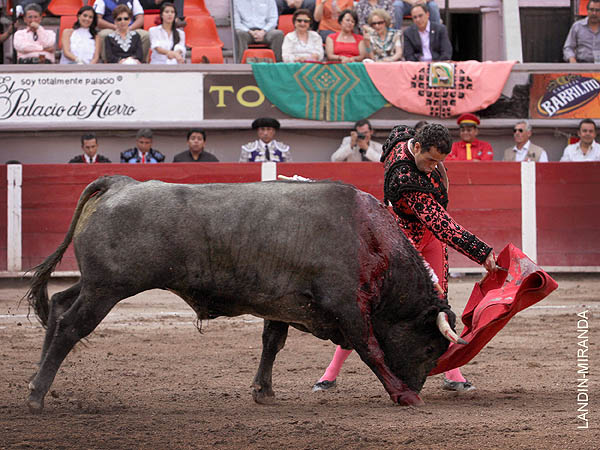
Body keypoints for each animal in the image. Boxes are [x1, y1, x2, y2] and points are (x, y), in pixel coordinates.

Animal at [26, 175, 463, 413]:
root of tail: (122, 183)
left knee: (59, 306)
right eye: (430, 348)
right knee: (70, 326)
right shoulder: (348, 307)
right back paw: (36, 395)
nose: (415, 386)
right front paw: (402, 395)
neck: (368, 238)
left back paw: (35, 380)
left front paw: (263, 392)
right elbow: (370, 348)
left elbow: (272, 342)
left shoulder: (283, 304)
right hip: (108, 288)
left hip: (96, 283)